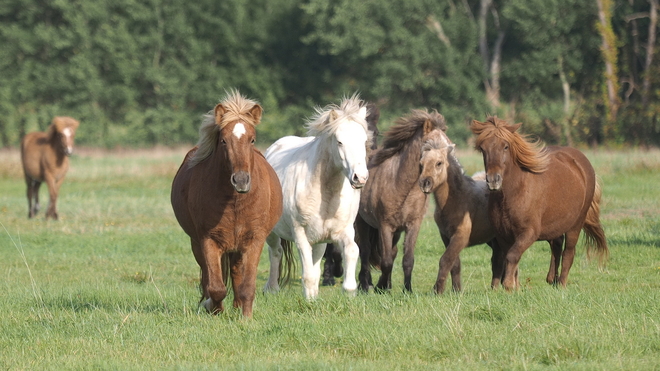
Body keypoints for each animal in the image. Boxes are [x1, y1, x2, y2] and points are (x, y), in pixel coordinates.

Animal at [170, 91, 282, 318]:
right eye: (223, 140)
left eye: (252, 139)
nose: (241, 180)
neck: (234, 202)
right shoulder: (208, 240)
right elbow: (216, 286)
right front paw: (212, 308)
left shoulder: (254, 240)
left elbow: (247, 285)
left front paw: (245, 317)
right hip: (197, 244)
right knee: (208, 276)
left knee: (237, 273)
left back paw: (238, 306)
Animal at [262, 94, 372, 300]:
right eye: (339, 142)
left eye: (364, 141)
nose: (360, 178)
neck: (326, 194)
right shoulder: (301, 236)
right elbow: (308, 275)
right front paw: (309, 301)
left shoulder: (342, 232)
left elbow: (352, 251)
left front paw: (349, 292)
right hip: (272, 231)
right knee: (276, 252)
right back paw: (272, 289)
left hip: (320, 240)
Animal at [358, 110, 452, 294]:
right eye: (429, 144)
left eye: (448, 146)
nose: (427, 182)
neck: (401, 185)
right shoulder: (385, 226)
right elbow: (386, 260)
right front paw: (381, 287)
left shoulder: (412, 225)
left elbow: (407, 259)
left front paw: (406, 290)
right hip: (362, 223)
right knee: (364, 252)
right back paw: (364, 286)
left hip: (395, 232)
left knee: (391, 252)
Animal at [470, 116, 608, 290]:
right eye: (483, 148)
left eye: (505, 146)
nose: (493, 180)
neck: (513, 194)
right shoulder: (503, 235)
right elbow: (503, 259)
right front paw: (508, 286)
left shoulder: (529, 233)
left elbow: (512, 256)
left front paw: (509, 285)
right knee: (556, 246)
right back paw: (551, 279)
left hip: (576, 224)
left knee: (568, 252)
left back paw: (561, 283)